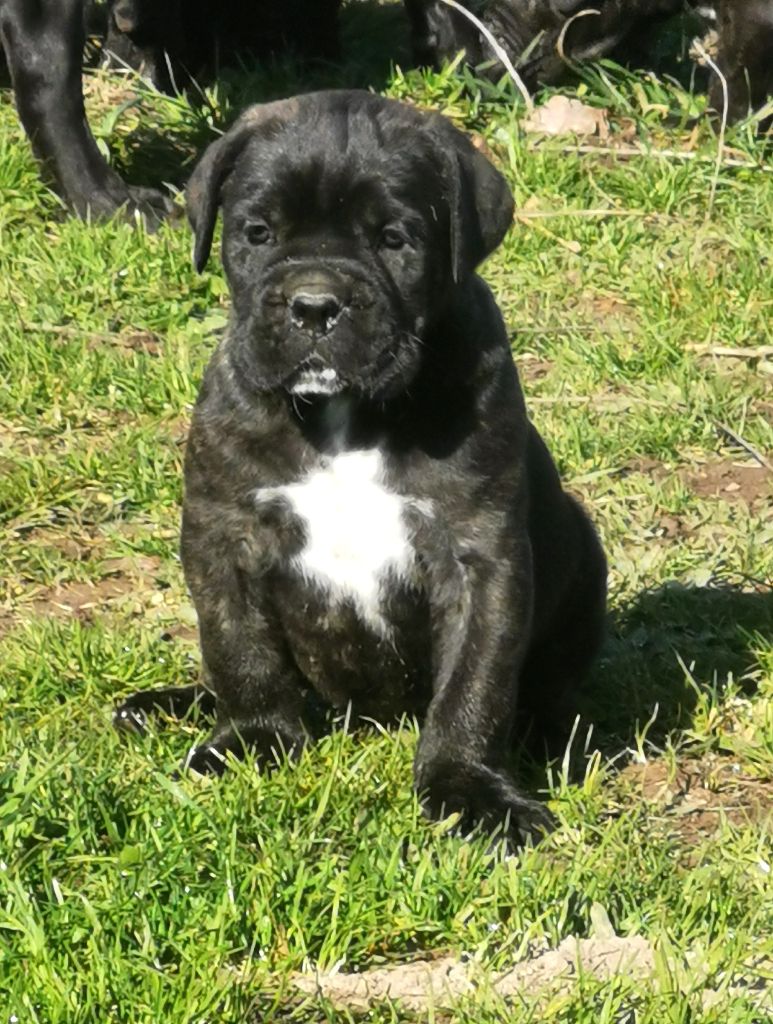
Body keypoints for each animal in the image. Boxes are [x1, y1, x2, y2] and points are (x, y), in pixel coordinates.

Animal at [113, 90, 607, 843]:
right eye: (258, 233)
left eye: (395, 240)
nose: (315, 304)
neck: (341, 418)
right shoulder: (223, 533)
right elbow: (239, 648)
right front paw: (253, 742)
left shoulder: (478, 554)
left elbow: (476, 681)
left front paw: (468, 788)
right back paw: (170, 706)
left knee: (548, 682)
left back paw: (555, 734)